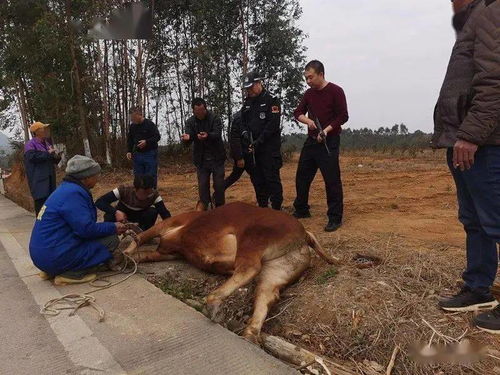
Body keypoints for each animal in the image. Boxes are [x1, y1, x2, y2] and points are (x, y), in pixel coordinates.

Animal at [124, 203, 340, 344]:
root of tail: (304, 234)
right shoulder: (169, 251)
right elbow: (145, 253)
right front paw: (127, 259)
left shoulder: (170, 225)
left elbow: (142, 237)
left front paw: (125, 254)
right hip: (278, 268)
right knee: (265, 294)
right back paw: (249, 334)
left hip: (252, 237)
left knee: (249, 268)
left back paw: (213, 303)